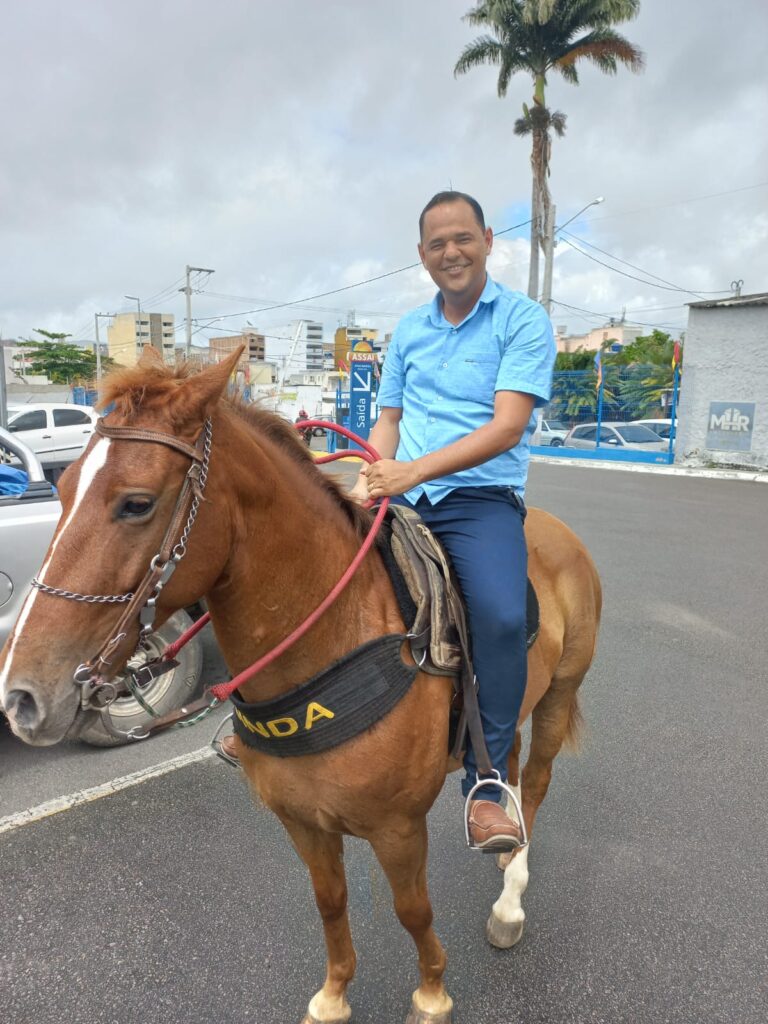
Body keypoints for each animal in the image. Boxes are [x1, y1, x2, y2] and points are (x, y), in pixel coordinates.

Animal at [0, 352, 602, 1024]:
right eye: (62, 490)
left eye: (136, 503)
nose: (21, 695)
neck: (335, 638)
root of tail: (552, 529)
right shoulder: (302, 822)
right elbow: (330, 903)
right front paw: (334, 995)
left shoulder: (398, 828)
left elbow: (412, 910)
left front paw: (431, 994)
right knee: (506, 760)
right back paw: (499, 825)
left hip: (559, 694)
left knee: (539, 778)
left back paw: (510, 898)